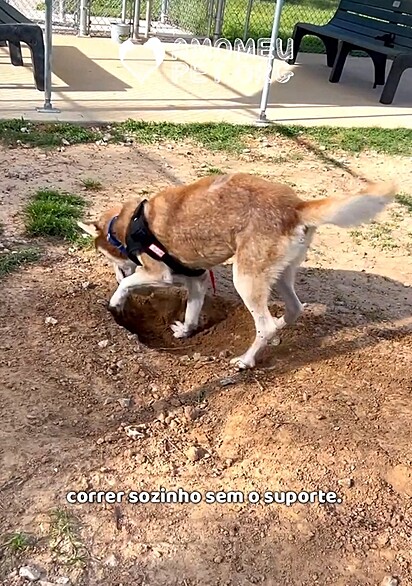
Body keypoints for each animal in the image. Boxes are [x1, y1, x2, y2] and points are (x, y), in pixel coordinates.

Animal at [77, 171, 396, 368]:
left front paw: (116, 300)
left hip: (245, 278)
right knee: (293, 309)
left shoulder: (160, 274)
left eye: (108, 260)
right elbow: (192, 311)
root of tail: (296, 206)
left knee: (265, 324)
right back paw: (279, 327)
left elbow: (127, 285)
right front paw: (185, 331)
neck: (129, 223)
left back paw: (246, 360)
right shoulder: (197, 280)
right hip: (280, 275)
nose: (118, 271)